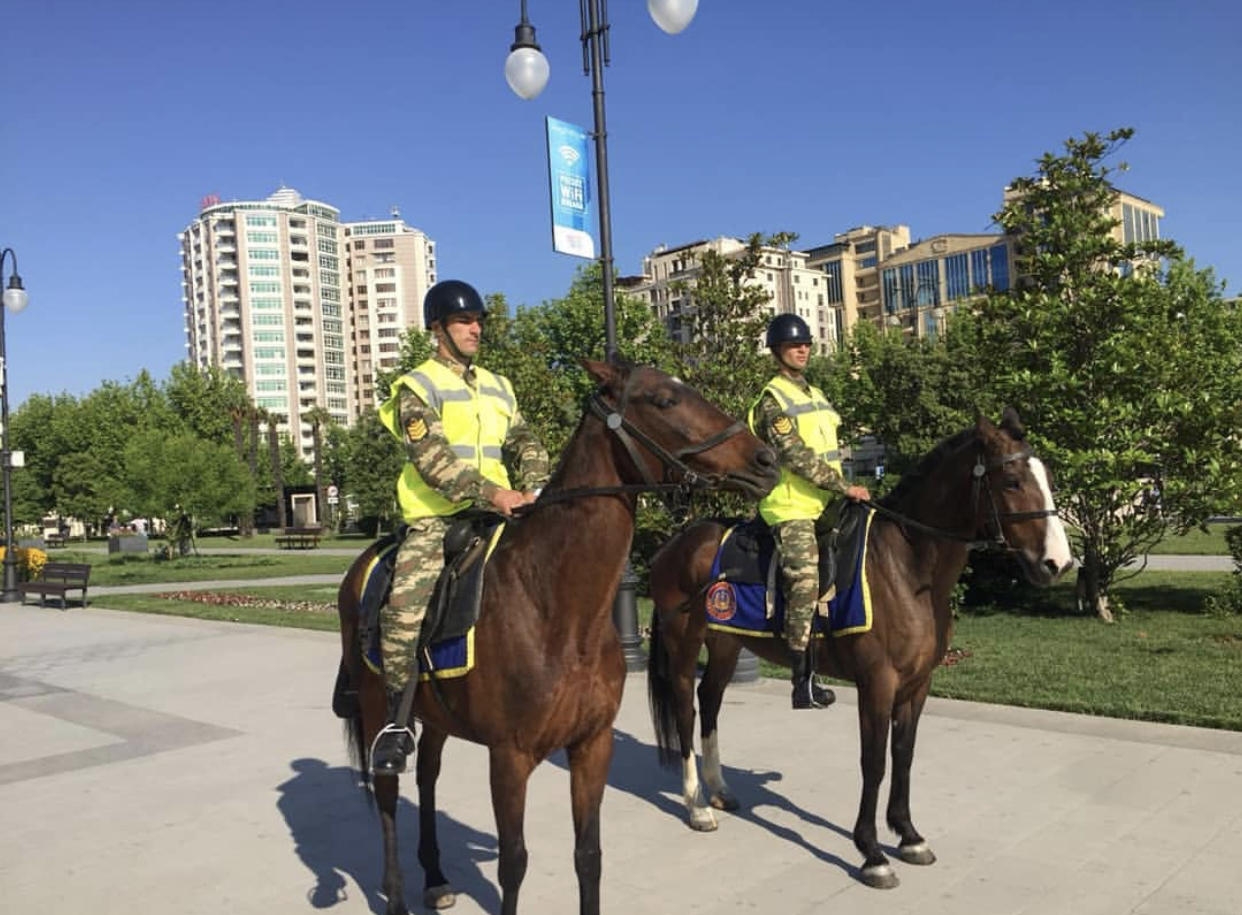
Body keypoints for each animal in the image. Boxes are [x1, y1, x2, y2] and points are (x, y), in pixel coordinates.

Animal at [335, 360, 770, 913]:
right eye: (664, 400)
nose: (766, 459)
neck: (557, 610)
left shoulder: (591, 746)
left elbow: (589, 855)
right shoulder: (509, 757)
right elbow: (513, 863)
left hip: (435, 717)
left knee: (428, 777)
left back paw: (434, 876)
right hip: (377, 709)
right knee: (390, 794)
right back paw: (395, 895)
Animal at [645, 409, 1073, 888]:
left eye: (1048, 477)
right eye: (1013, 480)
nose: (1058, 563)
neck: (907, 567)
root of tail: (674, 542)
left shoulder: (917, 685)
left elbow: (903, 757)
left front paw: (908, 835)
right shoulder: (877, 683)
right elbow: (874, 763)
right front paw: (872, 852)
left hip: (725, 644)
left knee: (711, 701)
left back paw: (719, 790)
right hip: (685, 641)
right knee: (685, 708)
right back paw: (697, 805)